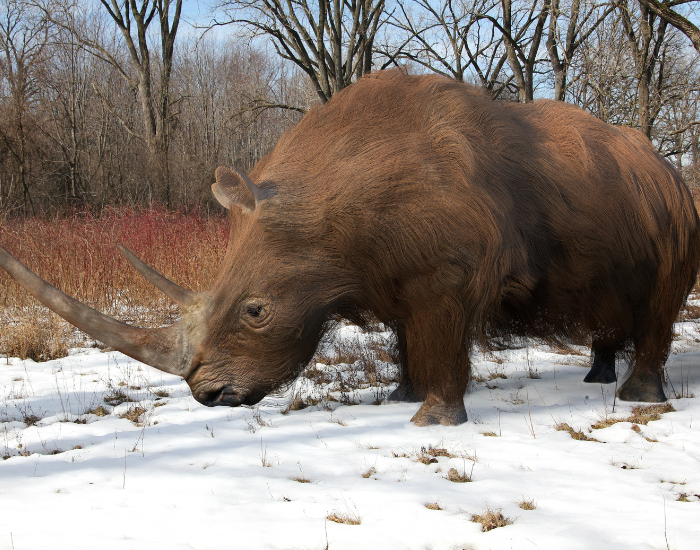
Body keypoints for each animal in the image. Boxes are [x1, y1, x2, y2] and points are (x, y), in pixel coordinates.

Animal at [1, 70, 698, 426]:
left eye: (256, 311)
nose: (208, 397)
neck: (322, 208)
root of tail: (666, 165)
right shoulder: (387, 273)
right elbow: (407, 339)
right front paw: (400, 399)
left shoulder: (448, 274)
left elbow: (442, 340)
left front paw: (431, 422)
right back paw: (595, 375)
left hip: (677, 210)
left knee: (661, 298)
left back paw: (636, 399)